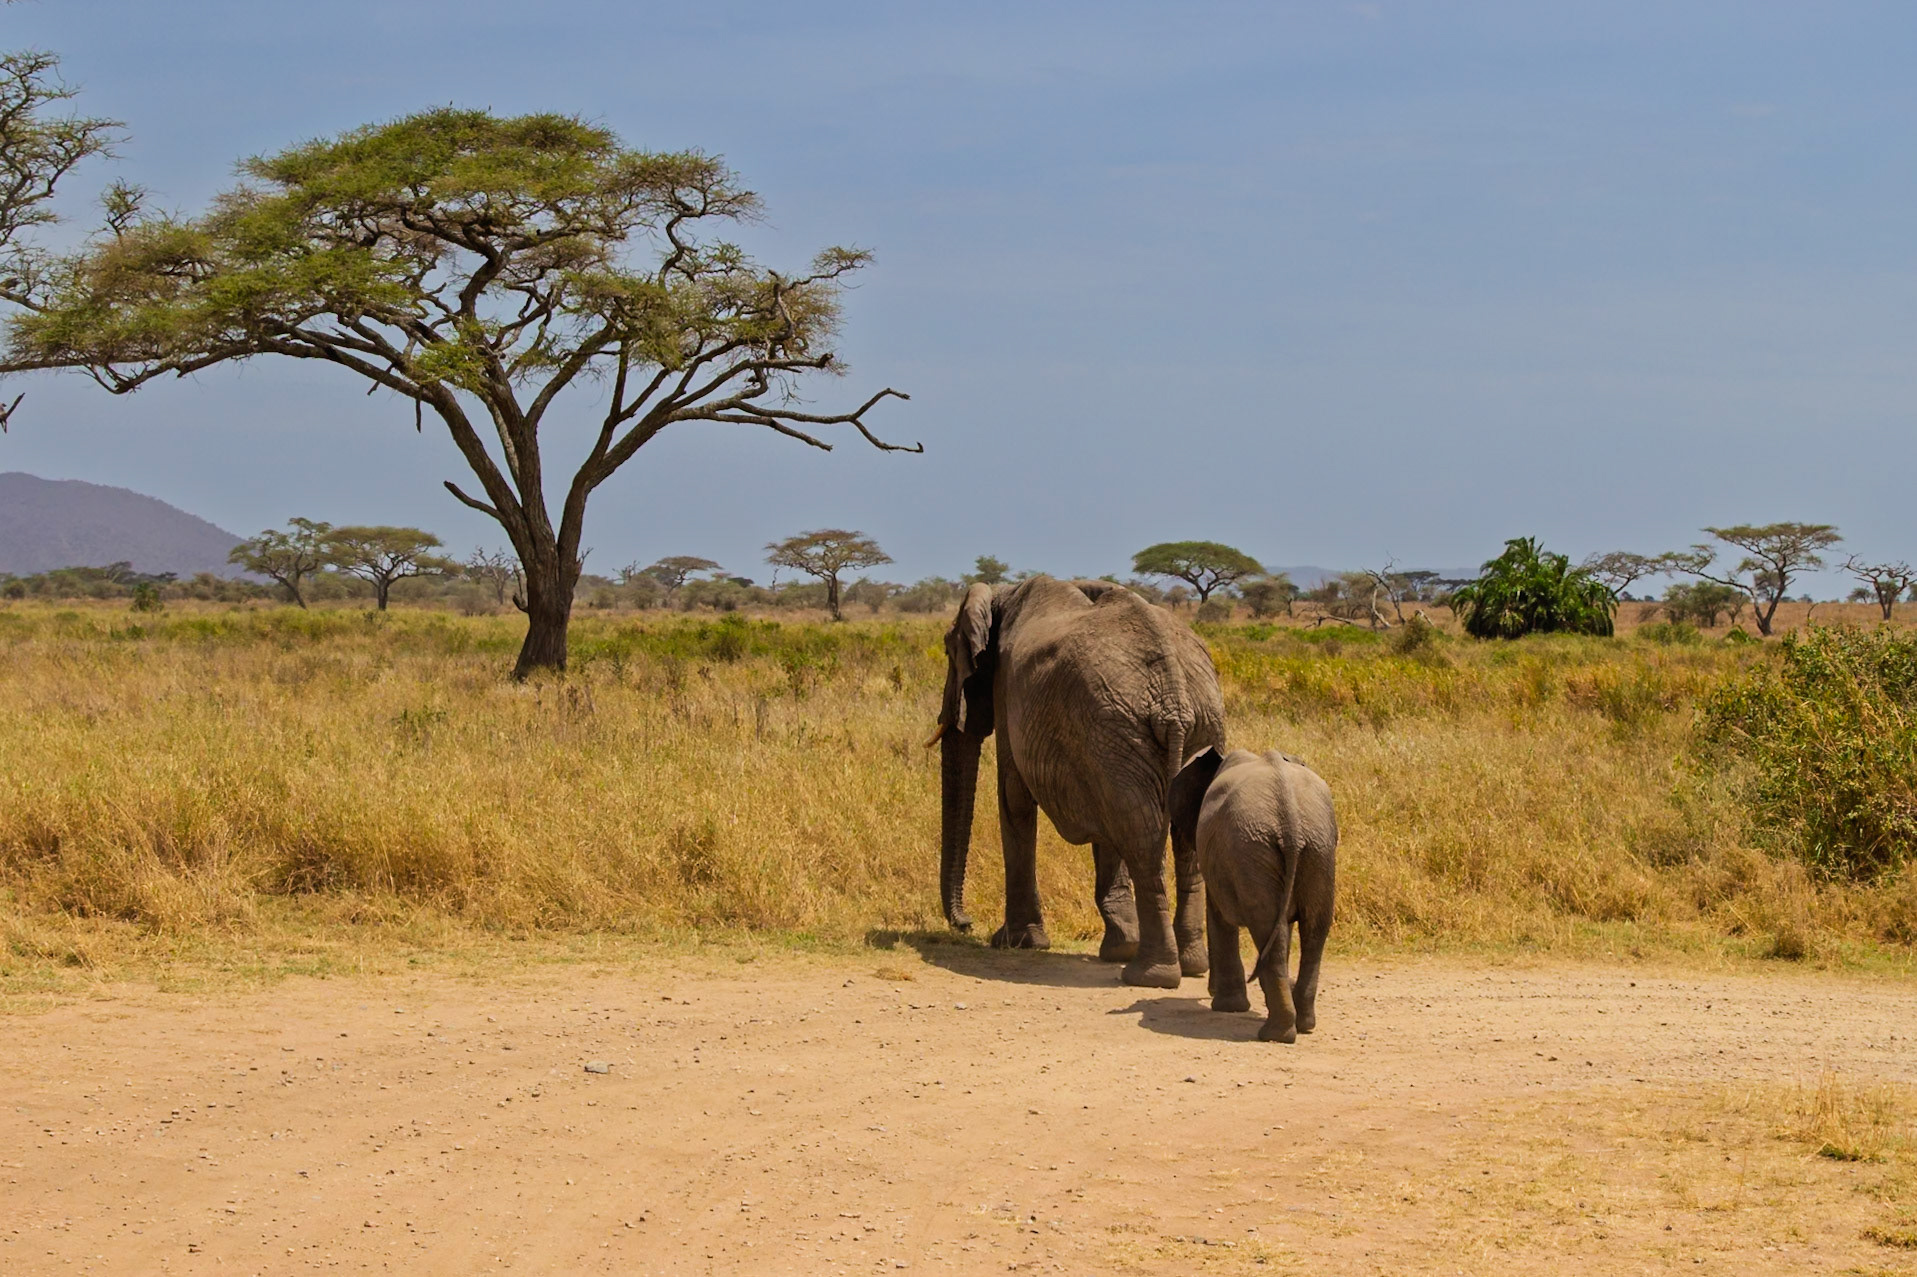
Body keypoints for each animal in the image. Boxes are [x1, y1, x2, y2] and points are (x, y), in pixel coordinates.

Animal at [932, 577, 1226, 989]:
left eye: (948, 650)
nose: (966, 923)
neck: (1004, 593)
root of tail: (1174, 695)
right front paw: (1119, 946)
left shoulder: (1008, 688)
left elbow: (1013, 797)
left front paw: (1016, 942)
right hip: (1181, 729)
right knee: (1176, 834)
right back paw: (1192, 964)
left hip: (1123, 729)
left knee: (1142, 838)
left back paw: (1150, 975)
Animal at [1169, 746, 1338, 1043]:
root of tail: (1290, 817)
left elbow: (1219, 916)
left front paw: (1227, 1007)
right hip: (1316, 848)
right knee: (1312, 928)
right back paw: (1302, 1025)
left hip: (1254, 848)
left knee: (1269, 926)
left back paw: (1275, 1034)